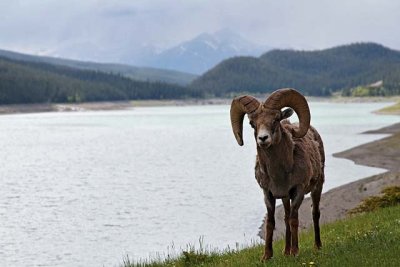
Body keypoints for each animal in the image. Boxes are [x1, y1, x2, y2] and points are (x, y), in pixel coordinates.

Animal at [231, 89, 324, 260]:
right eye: (252, 123)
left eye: (275, 119)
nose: (263, 138)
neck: (279, 174)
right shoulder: (268, 194)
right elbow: (271, 222)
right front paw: (267, 256)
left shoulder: (298, 191)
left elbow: (294, 220)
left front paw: (295, 252)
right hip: (285, 198)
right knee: (285, 218)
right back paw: (285, 251)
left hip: (318, 186)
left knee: (315, 213)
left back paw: (317, 246)